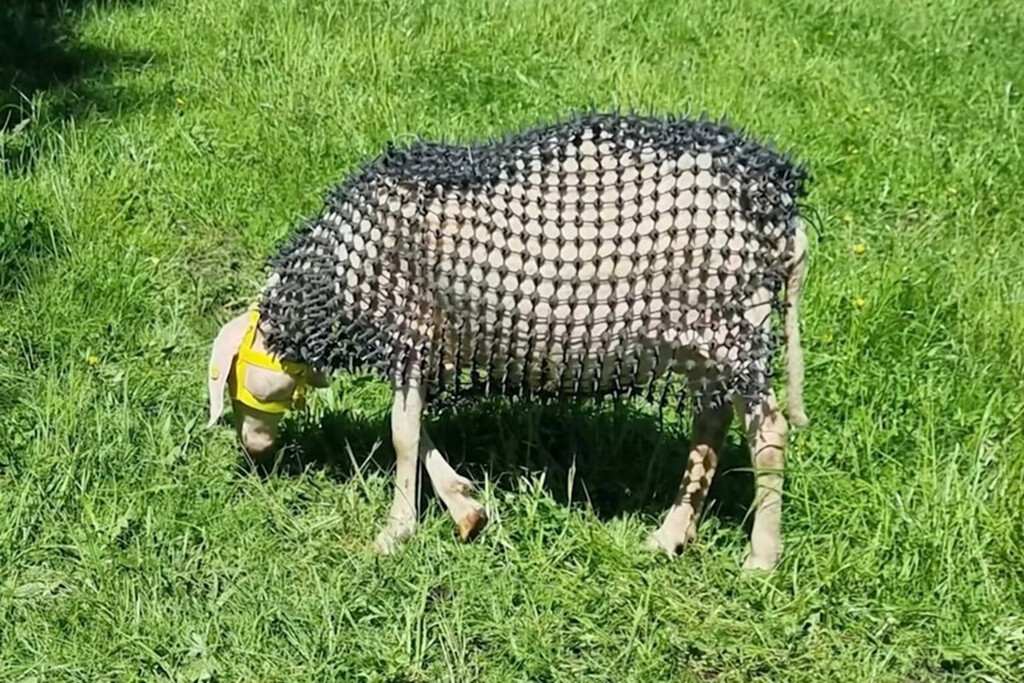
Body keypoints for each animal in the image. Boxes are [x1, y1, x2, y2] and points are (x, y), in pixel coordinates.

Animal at [206, 111, 810, 570]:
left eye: (231, 381)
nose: (253, 451)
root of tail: (781, 217)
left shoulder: (408, 333)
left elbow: (402, 436)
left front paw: (395, 533)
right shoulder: (426, 345)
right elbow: (417, 430)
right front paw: (465, 509)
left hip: (729, 326)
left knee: (767, 431)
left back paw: (761, 559)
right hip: (703, 340)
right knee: (711, 422)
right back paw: (671, 535)